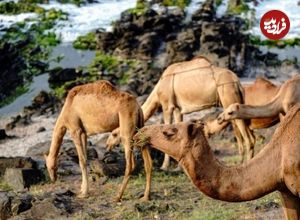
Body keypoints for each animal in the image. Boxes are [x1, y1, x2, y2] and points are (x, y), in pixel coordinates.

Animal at [106, 56, 254, 167]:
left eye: (114, 133)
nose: (108, 146)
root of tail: (237, 82)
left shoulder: (167, 106)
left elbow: (166, 127)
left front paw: (165, 166)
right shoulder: (178, 109)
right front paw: (179, 165)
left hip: (228, 96)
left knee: (248, 137)